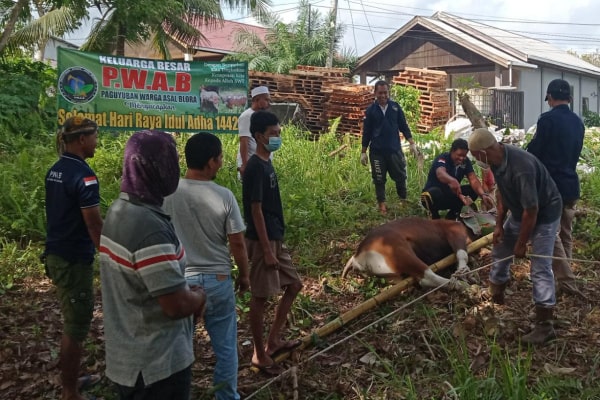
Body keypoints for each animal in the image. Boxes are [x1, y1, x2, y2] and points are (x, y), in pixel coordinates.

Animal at [344, 217, 472, 290]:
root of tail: (356, 257)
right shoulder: (454, 230)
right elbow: (462, 254)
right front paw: (463, 272)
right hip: (399, 252)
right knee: (427, 277)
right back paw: (460, 285)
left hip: (393, 275)